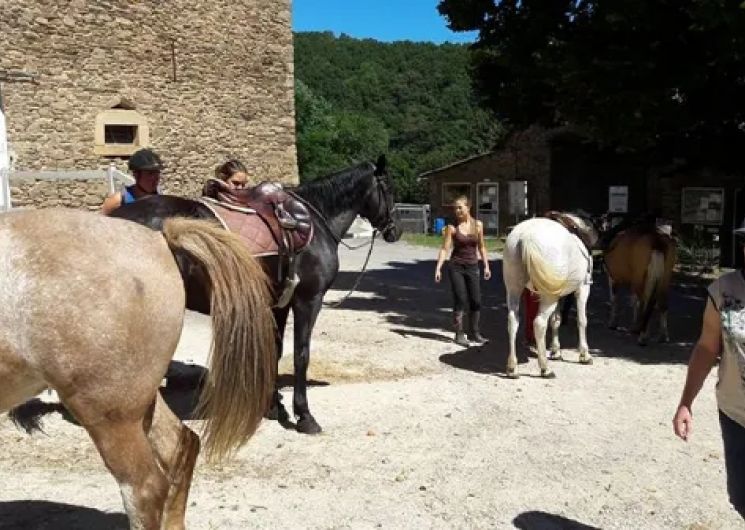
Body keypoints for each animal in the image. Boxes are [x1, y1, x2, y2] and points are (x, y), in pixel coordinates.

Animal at [110, 155, 402, 432]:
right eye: (388, 187)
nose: (395, 230)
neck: (316, 223)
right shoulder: (308, 300)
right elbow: (301, 355)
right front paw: (304, 415)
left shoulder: (279, 304)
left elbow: (276, 351)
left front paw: (274, 407)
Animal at [500, 210, 600, 376]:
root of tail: (525, 237)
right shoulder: (583, 289)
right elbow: (582, 320)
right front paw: (584, 355)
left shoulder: (559, 294)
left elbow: (556, 320)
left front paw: (555, 351)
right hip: (548, 297)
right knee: (539, 323)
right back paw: (544, 368)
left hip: (514, 289)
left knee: (512, 321)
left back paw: (512, 367)